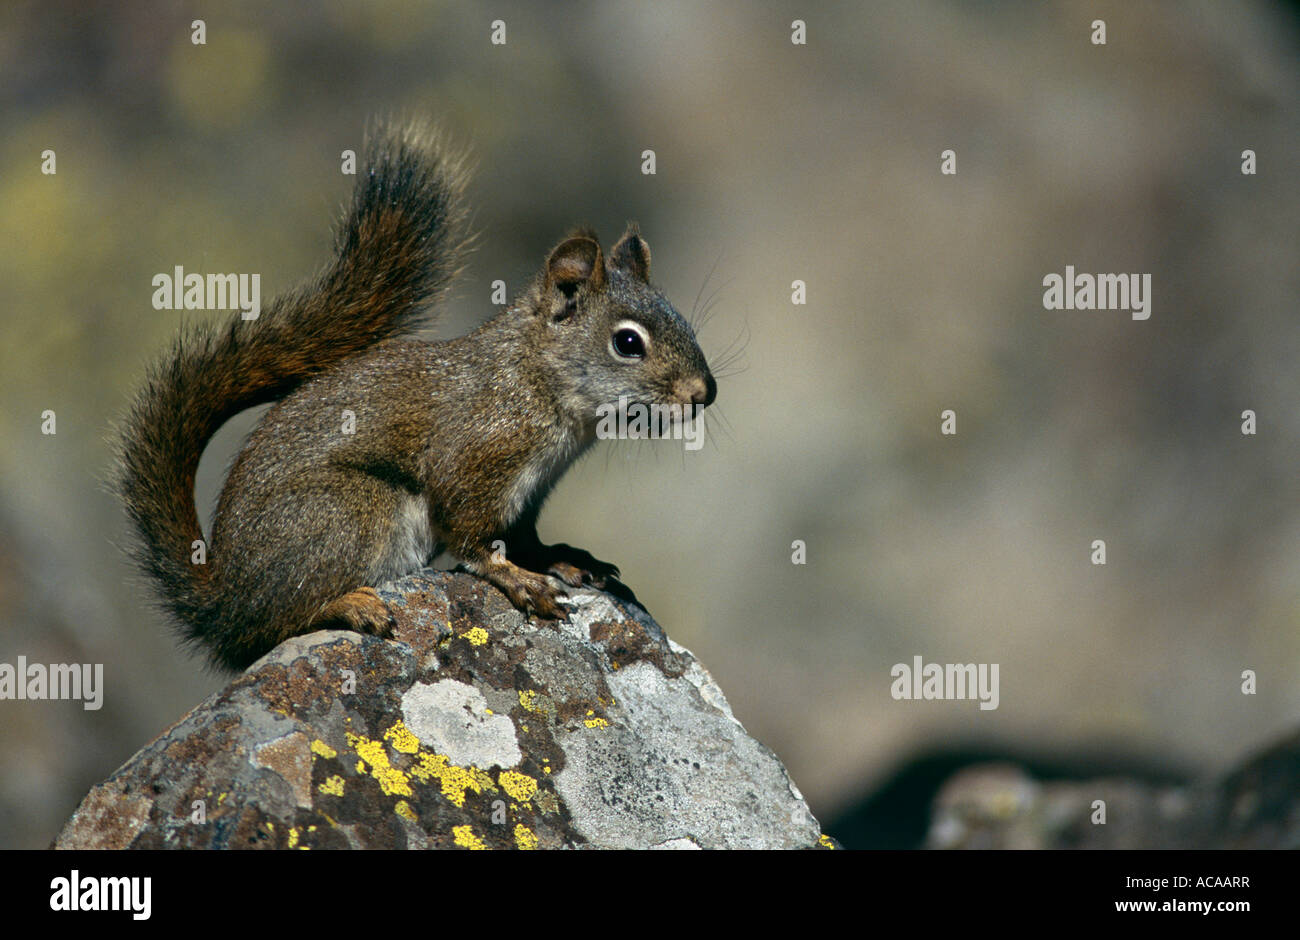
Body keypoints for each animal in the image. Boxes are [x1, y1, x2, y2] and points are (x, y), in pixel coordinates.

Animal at [116, 121, 716, 672]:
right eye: (628, 342)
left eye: (684, 322)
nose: (704, 394)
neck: (537, 383)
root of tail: (223, 600)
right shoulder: (475, 458)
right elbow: (473, 539)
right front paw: (518, 581)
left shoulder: (527, 494)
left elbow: (524, 538)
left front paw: (561, 560)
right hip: (350, 513)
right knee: (277, 621)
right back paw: (350, 606)